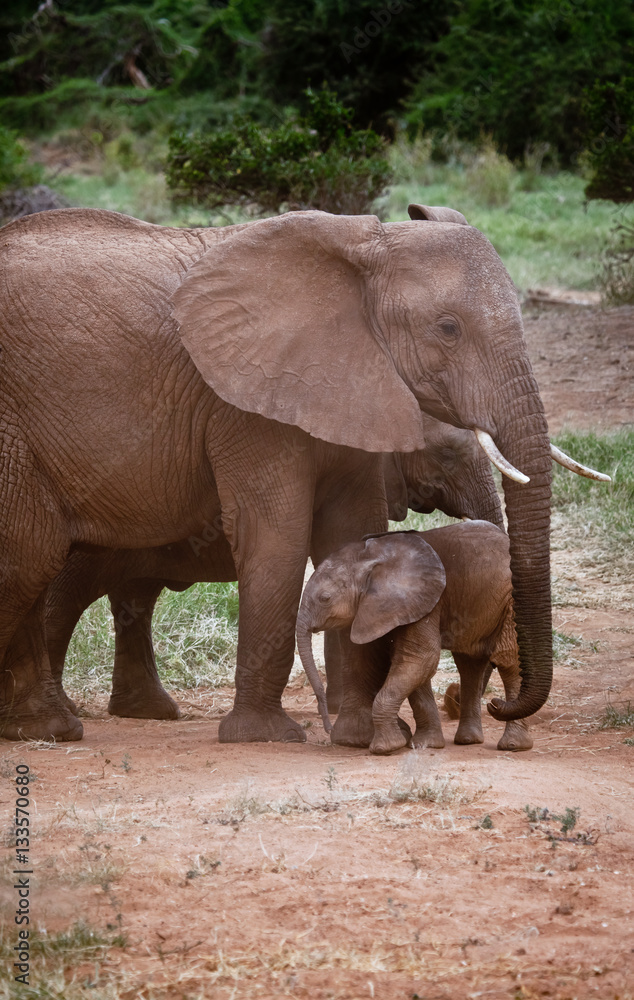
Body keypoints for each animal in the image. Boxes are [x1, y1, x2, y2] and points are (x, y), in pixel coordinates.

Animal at [44, 414, 504, 722]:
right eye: (446, 455)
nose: (453, 698)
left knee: (134, 599)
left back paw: (147, 711)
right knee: (67, 596)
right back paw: (64, 711)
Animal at [296, 521, 533, 754]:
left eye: (325, 598)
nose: (327, 728)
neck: (370, 559)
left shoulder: (424, 601)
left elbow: (419, 658)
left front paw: (386, 747)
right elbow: (413, 665)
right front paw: (424, 744)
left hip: (510, 600)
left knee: (508, 662)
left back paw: (513, 745)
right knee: (469, 664)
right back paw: (469, 740)